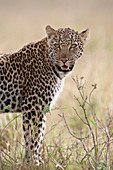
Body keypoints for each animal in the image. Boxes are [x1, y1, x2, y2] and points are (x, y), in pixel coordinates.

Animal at [0, 25, 88, 166]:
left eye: (73, 46)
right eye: (57, 45)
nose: (64, 60)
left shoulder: (41, 108)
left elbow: (38, 137)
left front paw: (36, 162)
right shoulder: (33, 107)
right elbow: (33, 139)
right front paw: (33, 164)